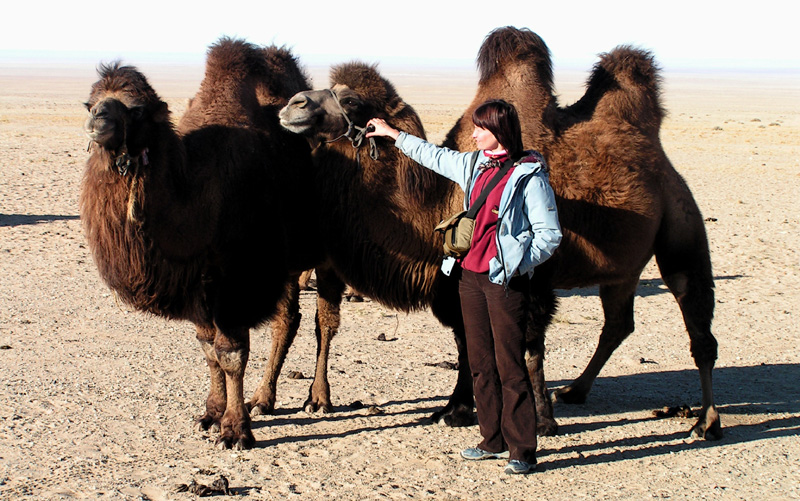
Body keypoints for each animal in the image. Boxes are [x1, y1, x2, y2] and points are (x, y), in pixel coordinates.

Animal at [79, 37, 318, 448]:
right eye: (91, 101)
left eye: (137, 108)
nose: (99, 120)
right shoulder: (196, 284)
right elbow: (208, 350)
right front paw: (211, 412)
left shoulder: (237, 278)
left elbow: (232, 353)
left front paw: (235, 430)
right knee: (288, 320)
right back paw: (264, 399)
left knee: (314, 320)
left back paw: (308, 398)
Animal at [278, 29, 720, 440]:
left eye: (351, 100)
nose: (292, 105)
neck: (437, 201)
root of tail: (660, 157)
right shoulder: (452, 281)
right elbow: (467, 341)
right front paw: (454, 410)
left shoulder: (533, 279)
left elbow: (529, 347)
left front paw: (540, 421)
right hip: (624, 268)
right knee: (618, 323)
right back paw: (575, 390)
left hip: (682, 225)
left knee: (698, 325)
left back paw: (706, 421)